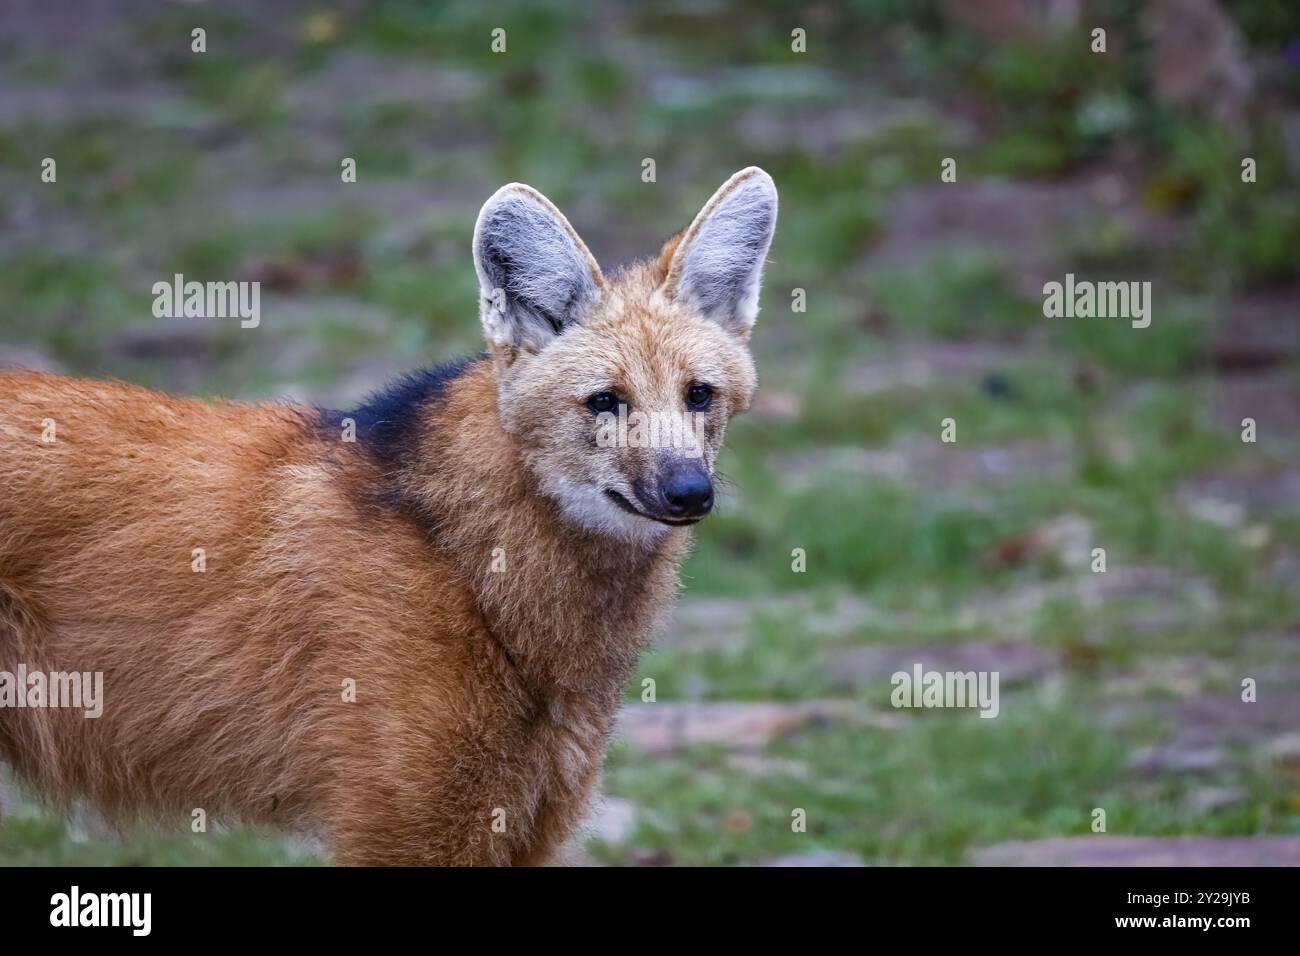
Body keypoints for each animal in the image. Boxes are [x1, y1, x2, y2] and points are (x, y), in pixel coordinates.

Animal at [0, 167, 777, 865]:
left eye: (699, 395)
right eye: (605, 401)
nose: (690, 492)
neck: (473, 569)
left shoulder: (521, 820)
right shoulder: (410, 827)